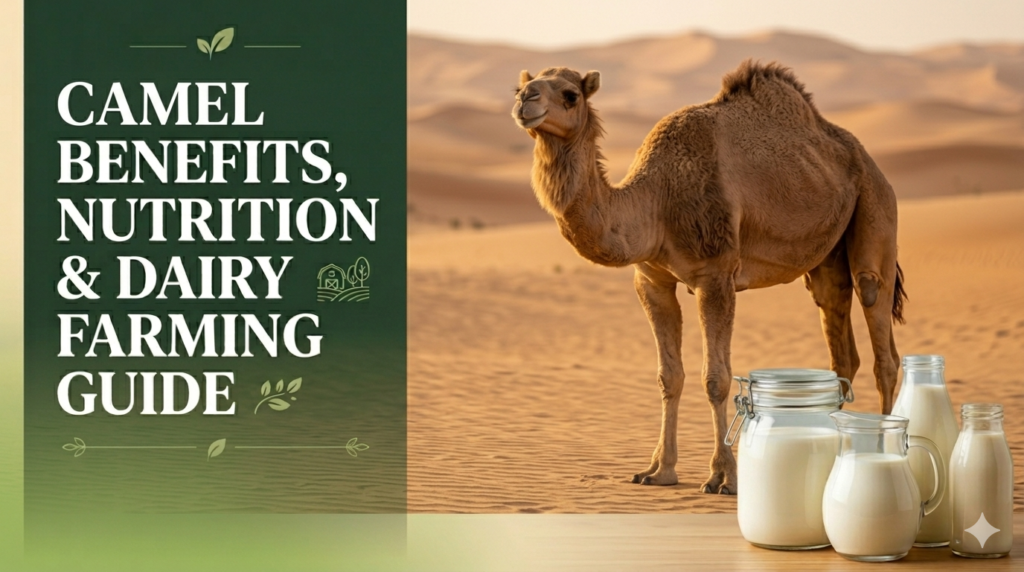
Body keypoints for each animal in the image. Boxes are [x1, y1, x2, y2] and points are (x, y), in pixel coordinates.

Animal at [510, 60, 907, 494]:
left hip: (876, 205)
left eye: (570, 95)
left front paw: (723, 476)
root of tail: (866, 158)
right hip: (827, 255)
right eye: (521, 86)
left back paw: (881, 454)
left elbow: (716, 378)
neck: (657, 201)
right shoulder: (652, 280)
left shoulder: (715, 274)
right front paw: (658, 471)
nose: (525, 101)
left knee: (880, 331)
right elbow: (669, 376)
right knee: (839, 340)